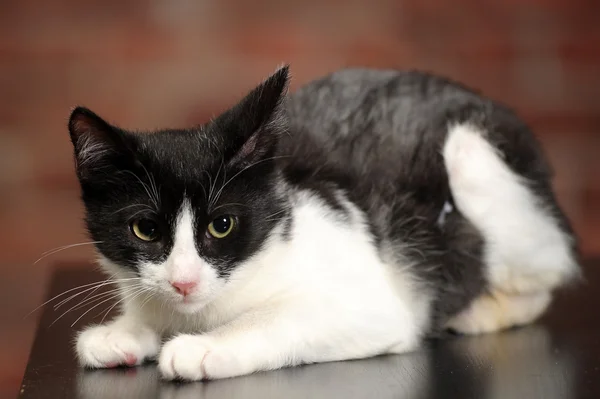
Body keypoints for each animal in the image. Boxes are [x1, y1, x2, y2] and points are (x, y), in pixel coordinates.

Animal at [68, 65, 580, 382]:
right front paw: (124, 331)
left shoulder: (375, 302)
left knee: (546, 269)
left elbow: (280, 316)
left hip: (475, 164)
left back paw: (482, 311)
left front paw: (204, 347)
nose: (184, 282)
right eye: (146, 230)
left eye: (222, 225)